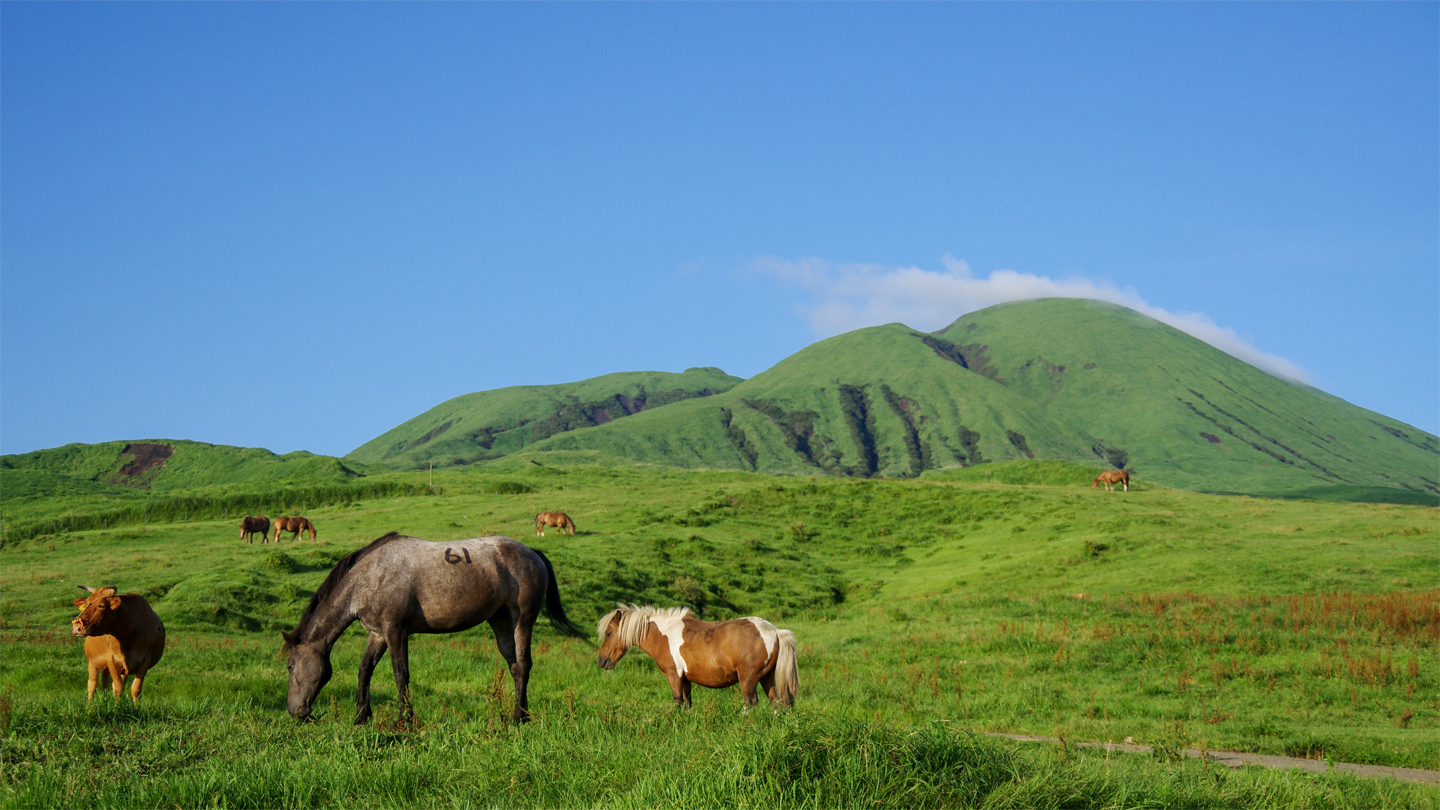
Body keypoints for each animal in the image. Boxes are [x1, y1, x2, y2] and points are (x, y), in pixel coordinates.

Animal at [282, 533, 589, 725]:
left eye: (290, 665)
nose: (295, 712)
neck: (369, 575)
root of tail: (533, 552)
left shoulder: (395, 630)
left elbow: (400, 674)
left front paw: (405, 720)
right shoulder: (377, 633)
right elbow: (364, 670)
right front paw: (361, 717)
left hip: (522, 619)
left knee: (523, 665)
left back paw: (518, 718)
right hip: (501, 621)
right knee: (514, 666)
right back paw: (518, 714)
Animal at [596, 604, 798, 711]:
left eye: (608, 633)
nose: (601, 661)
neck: (664, 635)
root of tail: (775, 631)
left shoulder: (674, 676)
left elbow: (678, 702)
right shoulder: (685, 679)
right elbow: (688, 704)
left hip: (748, 679)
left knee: (751, 703)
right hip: (766, 677)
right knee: (776, 703)